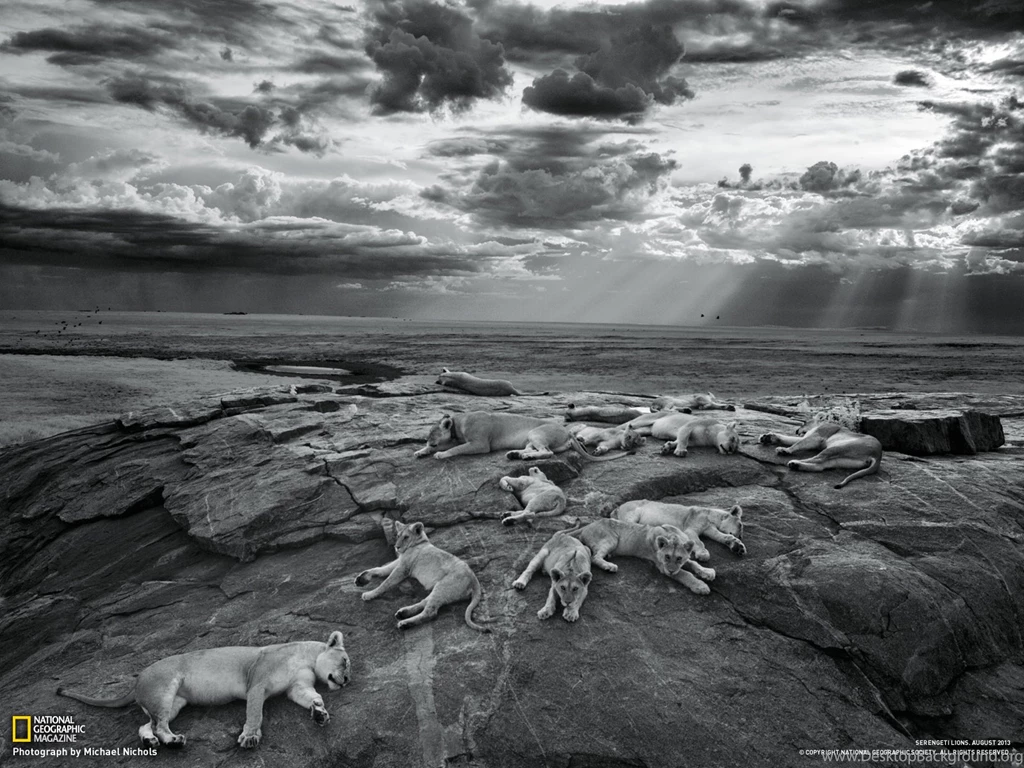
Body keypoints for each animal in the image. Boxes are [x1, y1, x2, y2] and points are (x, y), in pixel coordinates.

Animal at [56, 631, 350, 749]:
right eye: (346, 661)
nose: (347, 680)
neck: (306, 657)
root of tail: (137, 681)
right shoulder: (257, 683)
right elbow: (255, 713)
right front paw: (250, 738)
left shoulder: (296, 686)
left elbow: (312, 696)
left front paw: (320, 713)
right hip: (165, 688)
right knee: (159, 725)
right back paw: (174, 741)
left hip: (173, 703)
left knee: (146, 725)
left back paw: (151, 742)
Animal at [356, 520, 490, 632]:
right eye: (398, 536)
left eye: (406, 537)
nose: (397, 547)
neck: (420, 542)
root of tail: (475, 580)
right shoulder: (400, 561)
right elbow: (381, 569)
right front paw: (362, 578)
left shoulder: (403, 568)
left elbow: (386, 582)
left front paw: (369, 594)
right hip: (440, 589)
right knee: (425, 601)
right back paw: (403, 613)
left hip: (444, 586)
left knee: (430, 612)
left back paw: (404, 623)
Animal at [573, 518, 715, 595]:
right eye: (667, 557)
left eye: (679, 558)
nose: (671, 570)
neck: (673, 536)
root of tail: (588, 525)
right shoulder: (662, 567)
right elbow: (685, 574)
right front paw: (700, 586)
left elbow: (693, 563)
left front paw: (707, 572)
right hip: (611, 538)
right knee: (594, 557)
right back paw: (609, 566)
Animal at [612, 500, 746, 562]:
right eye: (740, 525)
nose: (741, 537)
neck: (711, 515)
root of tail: (617, 508)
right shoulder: (691, 526)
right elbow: (698, 541)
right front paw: (703, 554)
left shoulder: (709, 529)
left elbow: (721, 536)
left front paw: (737, 546)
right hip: (632, 512)